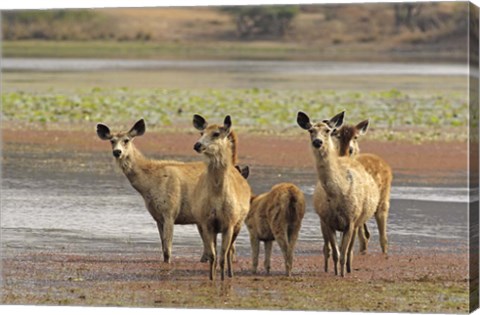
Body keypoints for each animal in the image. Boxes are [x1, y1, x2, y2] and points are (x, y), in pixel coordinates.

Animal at [296, 112, 378, 278]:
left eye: (328, 130)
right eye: (310, 130)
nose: (318, 142)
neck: (337, 194)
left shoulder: (351, 221)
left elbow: (344, 253)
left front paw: (342, 274)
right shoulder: (327, 221)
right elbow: (335, 252)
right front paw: (334, 272)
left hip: (359, 220)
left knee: (351, 249)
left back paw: (349, 268)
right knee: (329, 249)